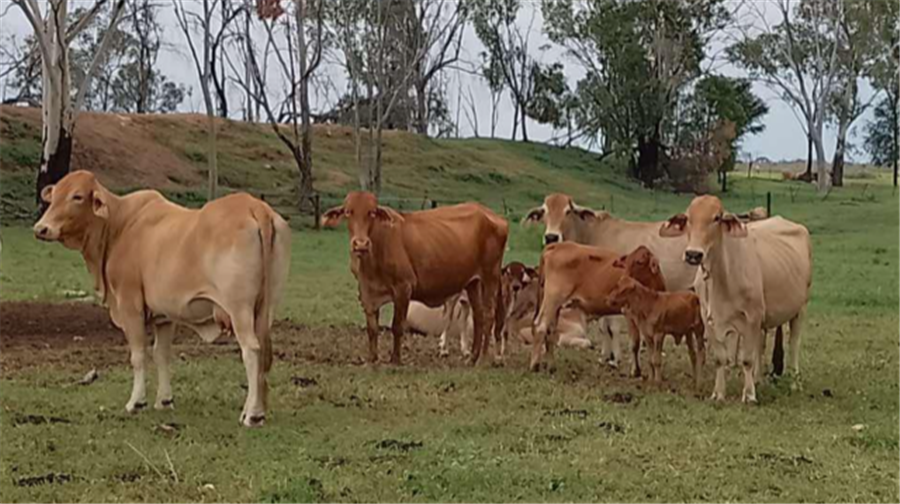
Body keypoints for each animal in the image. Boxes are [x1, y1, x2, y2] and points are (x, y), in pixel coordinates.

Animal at [32, 171, 288, 428]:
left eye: (77, 196)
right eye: (54, 195)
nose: (41, 229)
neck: (118, 225)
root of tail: (254, 205)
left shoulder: (130, 304)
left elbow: (138, 355)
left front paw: (136, 402)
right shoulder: (165, 316)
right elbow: (161, 354)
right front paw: (164, 400)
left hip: (239, 309)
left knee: (251, 350)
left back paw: (253, 414)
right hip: (266, 308)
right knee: (263, 353)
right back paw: (255, 410)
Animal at [656, 195, 812, 404]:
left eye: (717, 218)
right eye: (688, 218)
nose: (693, 254)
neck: (720, 278)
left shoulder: (752, 316)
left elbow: (746, 359)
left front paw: (749, 395)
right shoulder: (709, 319)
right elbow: (721, 358)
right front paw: (718, 393)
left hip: (800, 308)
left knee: (794, 344)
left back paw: (795, 383)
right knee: (760, 345)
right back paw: (758, 379)